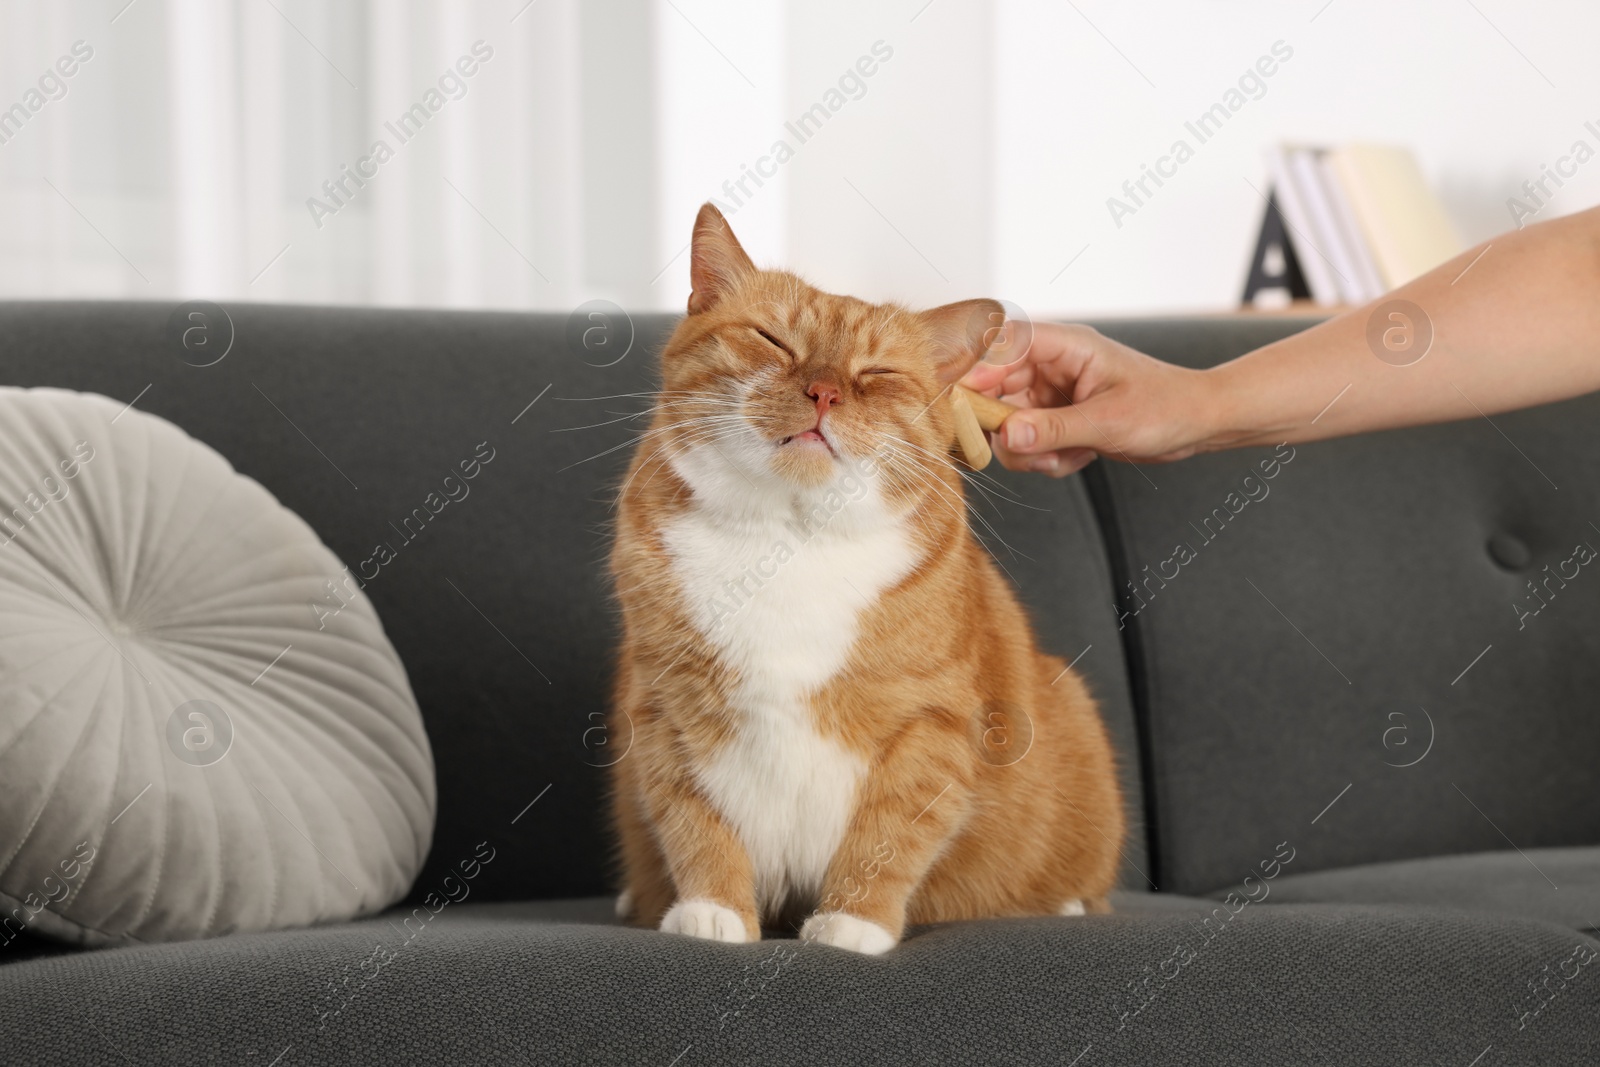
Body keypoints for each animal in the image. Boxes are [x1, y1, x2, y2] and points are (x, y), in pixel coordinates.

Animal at [604, 204, 1120, 953]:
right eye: (772, 339)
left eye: (877, 373)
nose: (824, 391)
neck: (788, 543)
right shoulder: (665, 709)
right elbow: (695, 821)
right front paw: (714, 911)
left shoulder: (931, 724)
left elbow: (888, 834)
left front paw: (853, 923)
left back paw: (1068, 905)